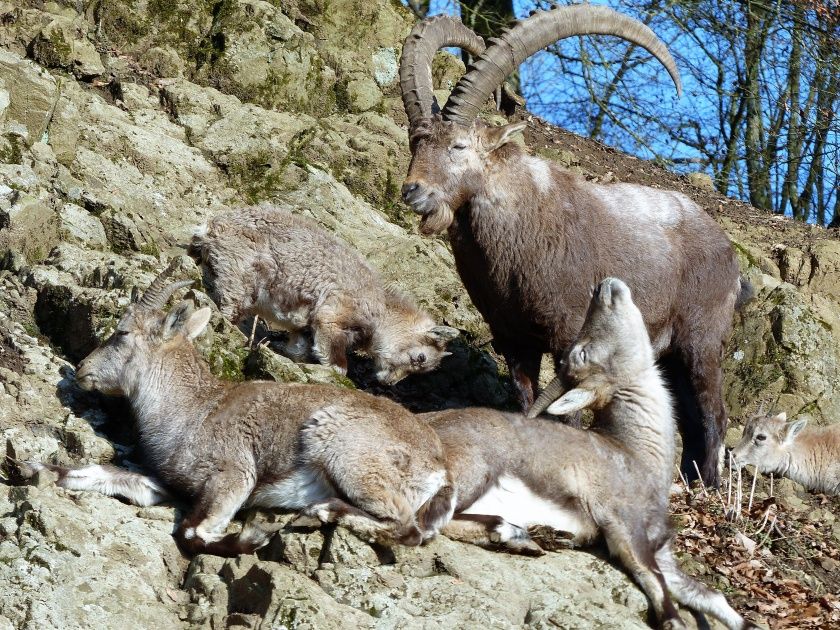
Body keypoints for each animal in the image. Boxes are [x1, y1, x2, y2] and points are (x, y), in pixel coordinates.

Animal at [26, 262, 456, 556]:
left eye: (122, 333)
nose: (82, 370)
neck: (191, 409)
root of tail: (438, 465)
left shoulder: (233, 476)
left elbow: (193, 533)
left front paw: (252, 538)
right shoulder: (167, 482)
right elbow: (104, 475)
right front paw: (38, 469)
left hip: (345, 452)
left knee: (408, 529)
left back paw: (317, 513)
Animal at [189, 207, 460, 386]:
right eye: (420, 357)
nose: (389, 382)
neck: (380, 310)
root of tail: (211, 226)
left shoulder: (303, 327)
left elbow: (298, 347)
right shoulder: (334, 316)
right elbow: (338, 365)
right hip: (240, 273)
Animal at [400, 6, 748, 488]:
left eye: (458, 145)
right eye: (415, 141)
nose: (412, 191)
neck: (518, 236)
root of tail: (729, 254)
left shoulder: (568, 333)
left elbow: (567, 414)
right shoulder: (513, 338)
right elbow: (527, 401)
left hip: (701, 339)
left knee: (714, 413)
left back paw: (709, 486)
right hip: (667, 351)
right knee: (690, 419)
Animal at [426, 280, 756, 630]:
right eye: (581, 352)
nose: (604, 287)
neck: (637, 454)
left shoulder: (661, 549)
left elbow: (710, 597)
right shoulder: (622, 522)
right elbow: (652, 581)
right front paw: (672, 619)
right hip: (474, 469)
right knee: (429, 520)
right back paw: (515, 534)